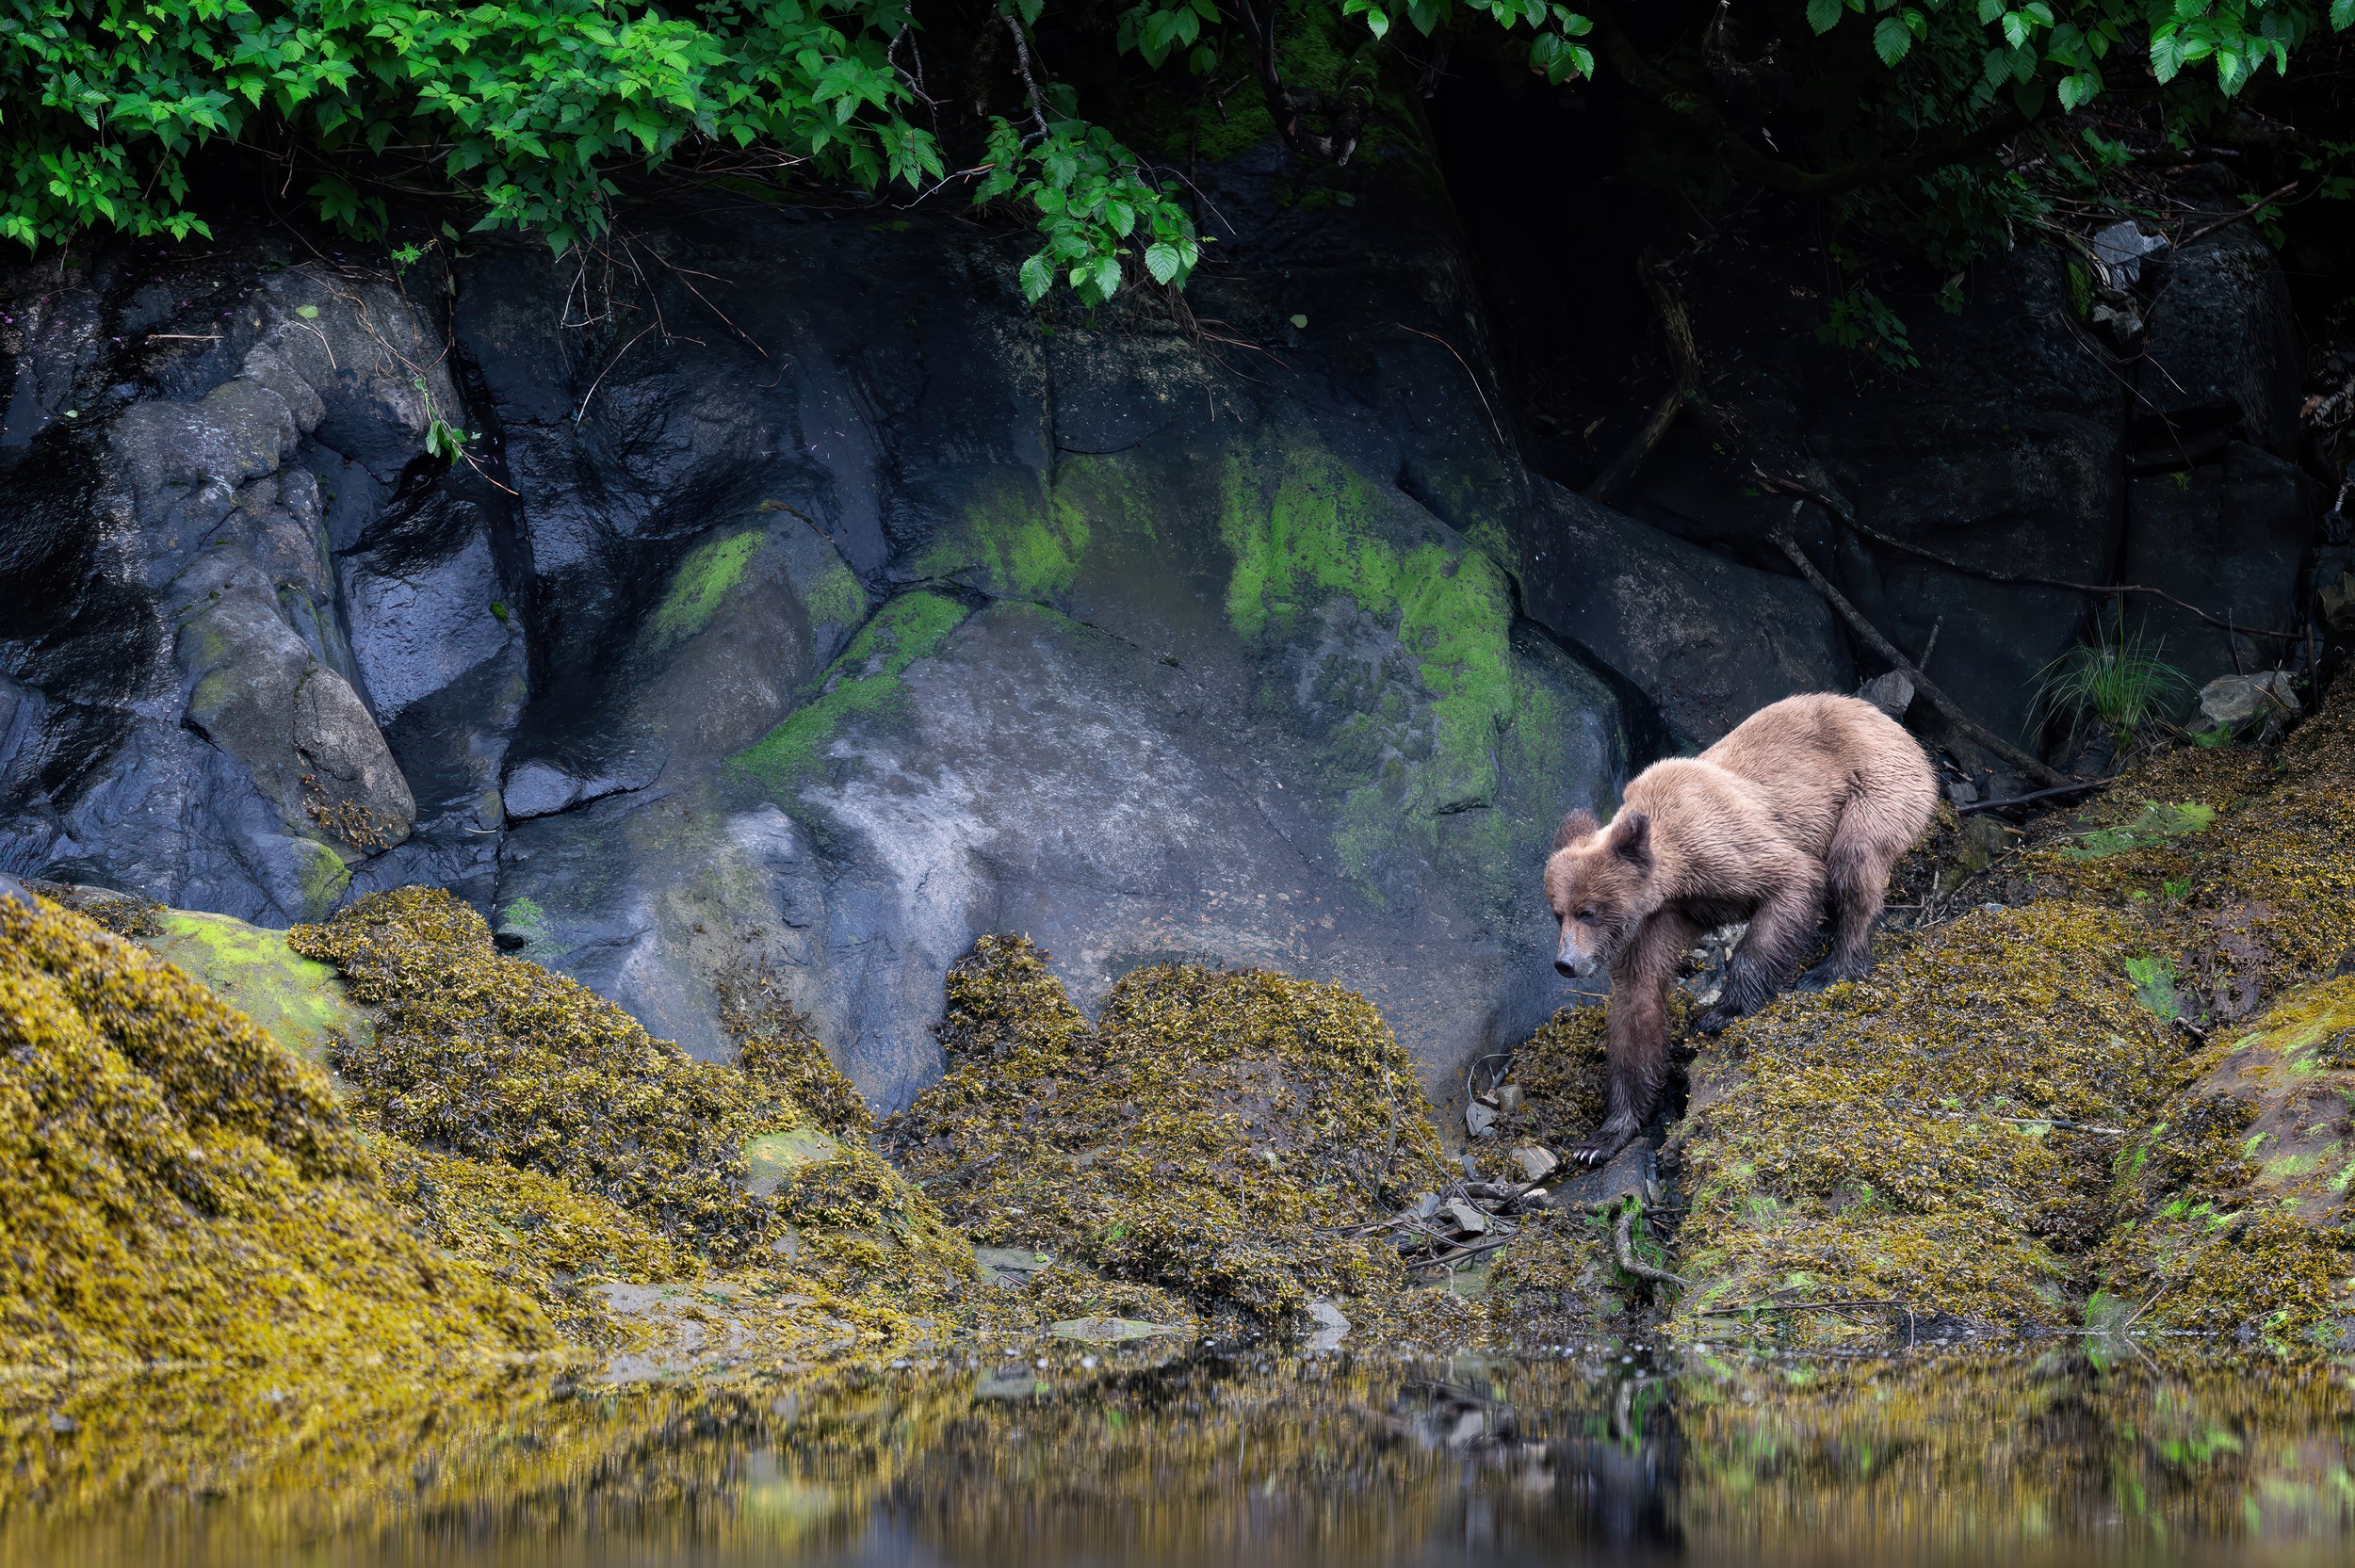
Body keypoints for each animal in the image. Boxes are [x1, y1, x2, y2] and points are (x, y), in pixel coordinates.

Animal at [1542, 692, 1939, 1166]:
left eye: (1588, 911)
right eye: (1557, 912)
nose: (1566, 963)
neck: (1673, 878)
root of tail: (1888, 721)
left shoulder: (1726, 849)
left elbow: (1793, 882)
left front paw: (1722, 1012)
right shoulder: (1659, 919)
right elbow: (1638, 1004)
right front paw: (1602, 1138)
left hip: (1874, 785)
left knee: (1854, 862)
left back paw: (1833, 967)